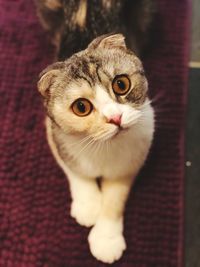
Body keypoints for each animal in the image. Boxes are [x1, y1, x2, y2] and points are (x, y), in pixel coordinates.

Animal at [35, 0, 155, 264]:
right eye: (81, 107)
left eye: (121, 84)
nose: (115, 118)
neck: (103, 148)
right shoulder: (54, 132)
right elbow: (74, 169)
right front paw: (88, 205)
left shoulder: (137, 150)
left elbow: (115, 197)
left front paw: (106, 239)